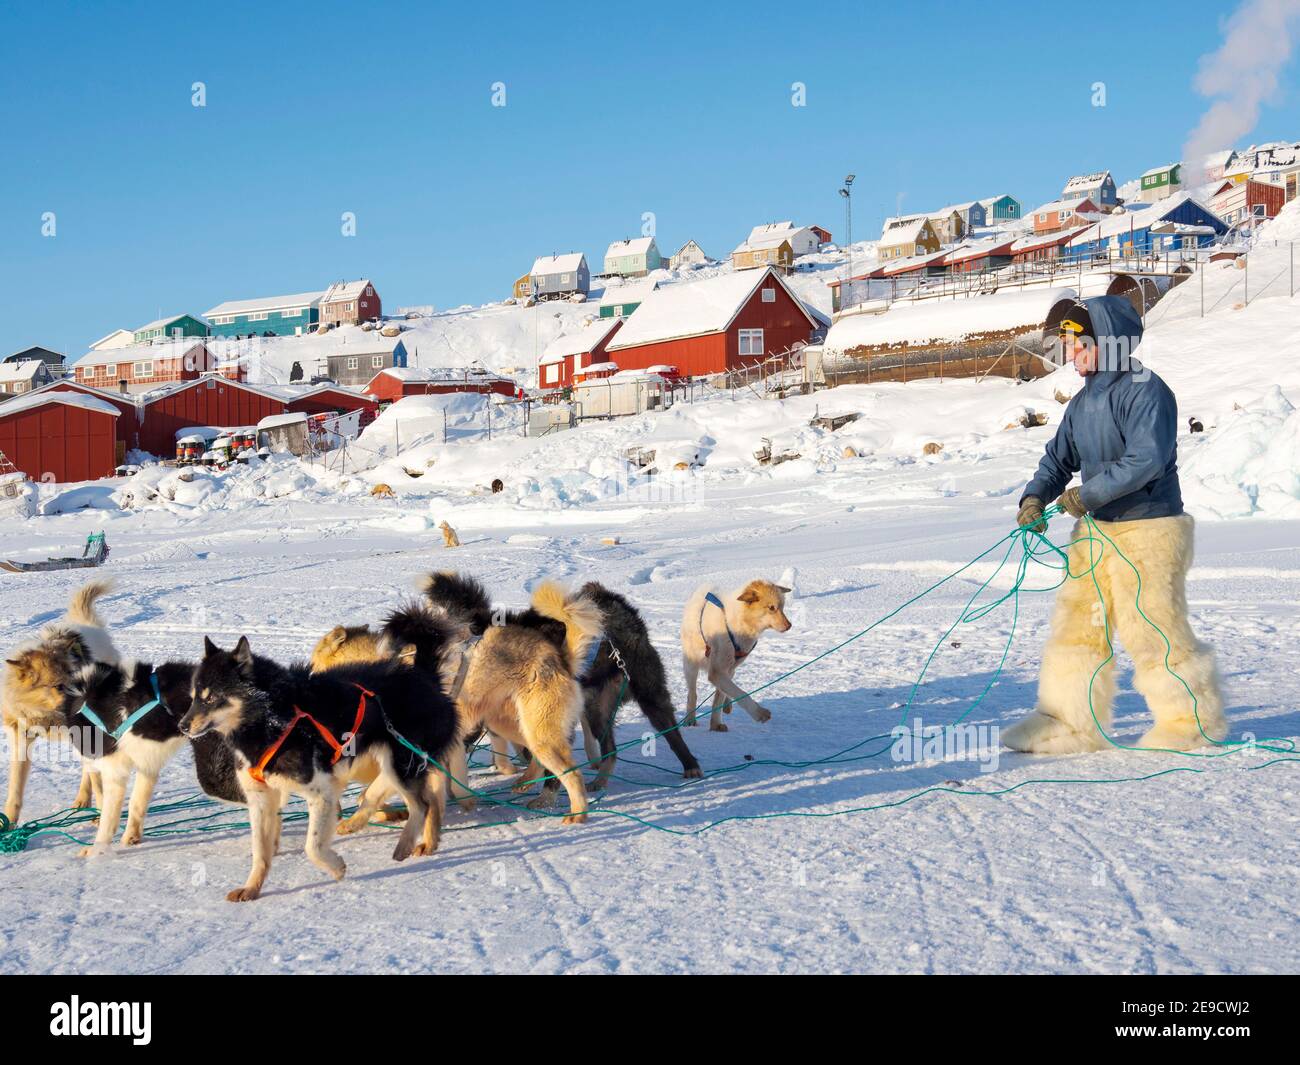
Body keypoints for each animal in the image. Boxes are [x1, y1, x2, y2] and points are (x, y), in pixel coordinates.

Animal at [2, 582, 118, 827]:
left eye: (76, 680)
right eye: (58, 686)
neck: (44, 714)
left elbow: (99, 782)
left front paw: (103, 816)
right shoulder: (21, 739)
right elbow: (15, 789)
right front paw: (8, 823)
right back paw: (82, 800)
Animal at [180, 637, 460, 905]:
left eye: (211, 697)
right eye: (193, 696)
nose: (182, 725)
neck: (271, 719)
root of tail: (426, 678)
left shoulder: (321, 792)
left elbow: (312, 846)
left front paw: (336, 867)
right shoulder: (261, 800)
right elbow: (260, 853)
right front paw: (252, 888)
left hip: (399, 763)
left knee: (421, 804)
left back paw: (404, 844)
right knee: (428, 800)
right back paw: (425, 840)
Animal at [681, 582, 790, 733]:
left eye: (782, 607)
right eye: (771, 607)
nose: (789, 625)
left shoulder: (726, 670)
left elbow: (720, 698)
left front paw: (715, 724)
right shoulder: (717, 672)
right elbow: (741, 694)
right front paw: (759, 713)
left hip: (731, 669)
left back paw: (727, 705)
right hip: (691, 665)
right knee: (692, 694)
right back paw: (690, 719)